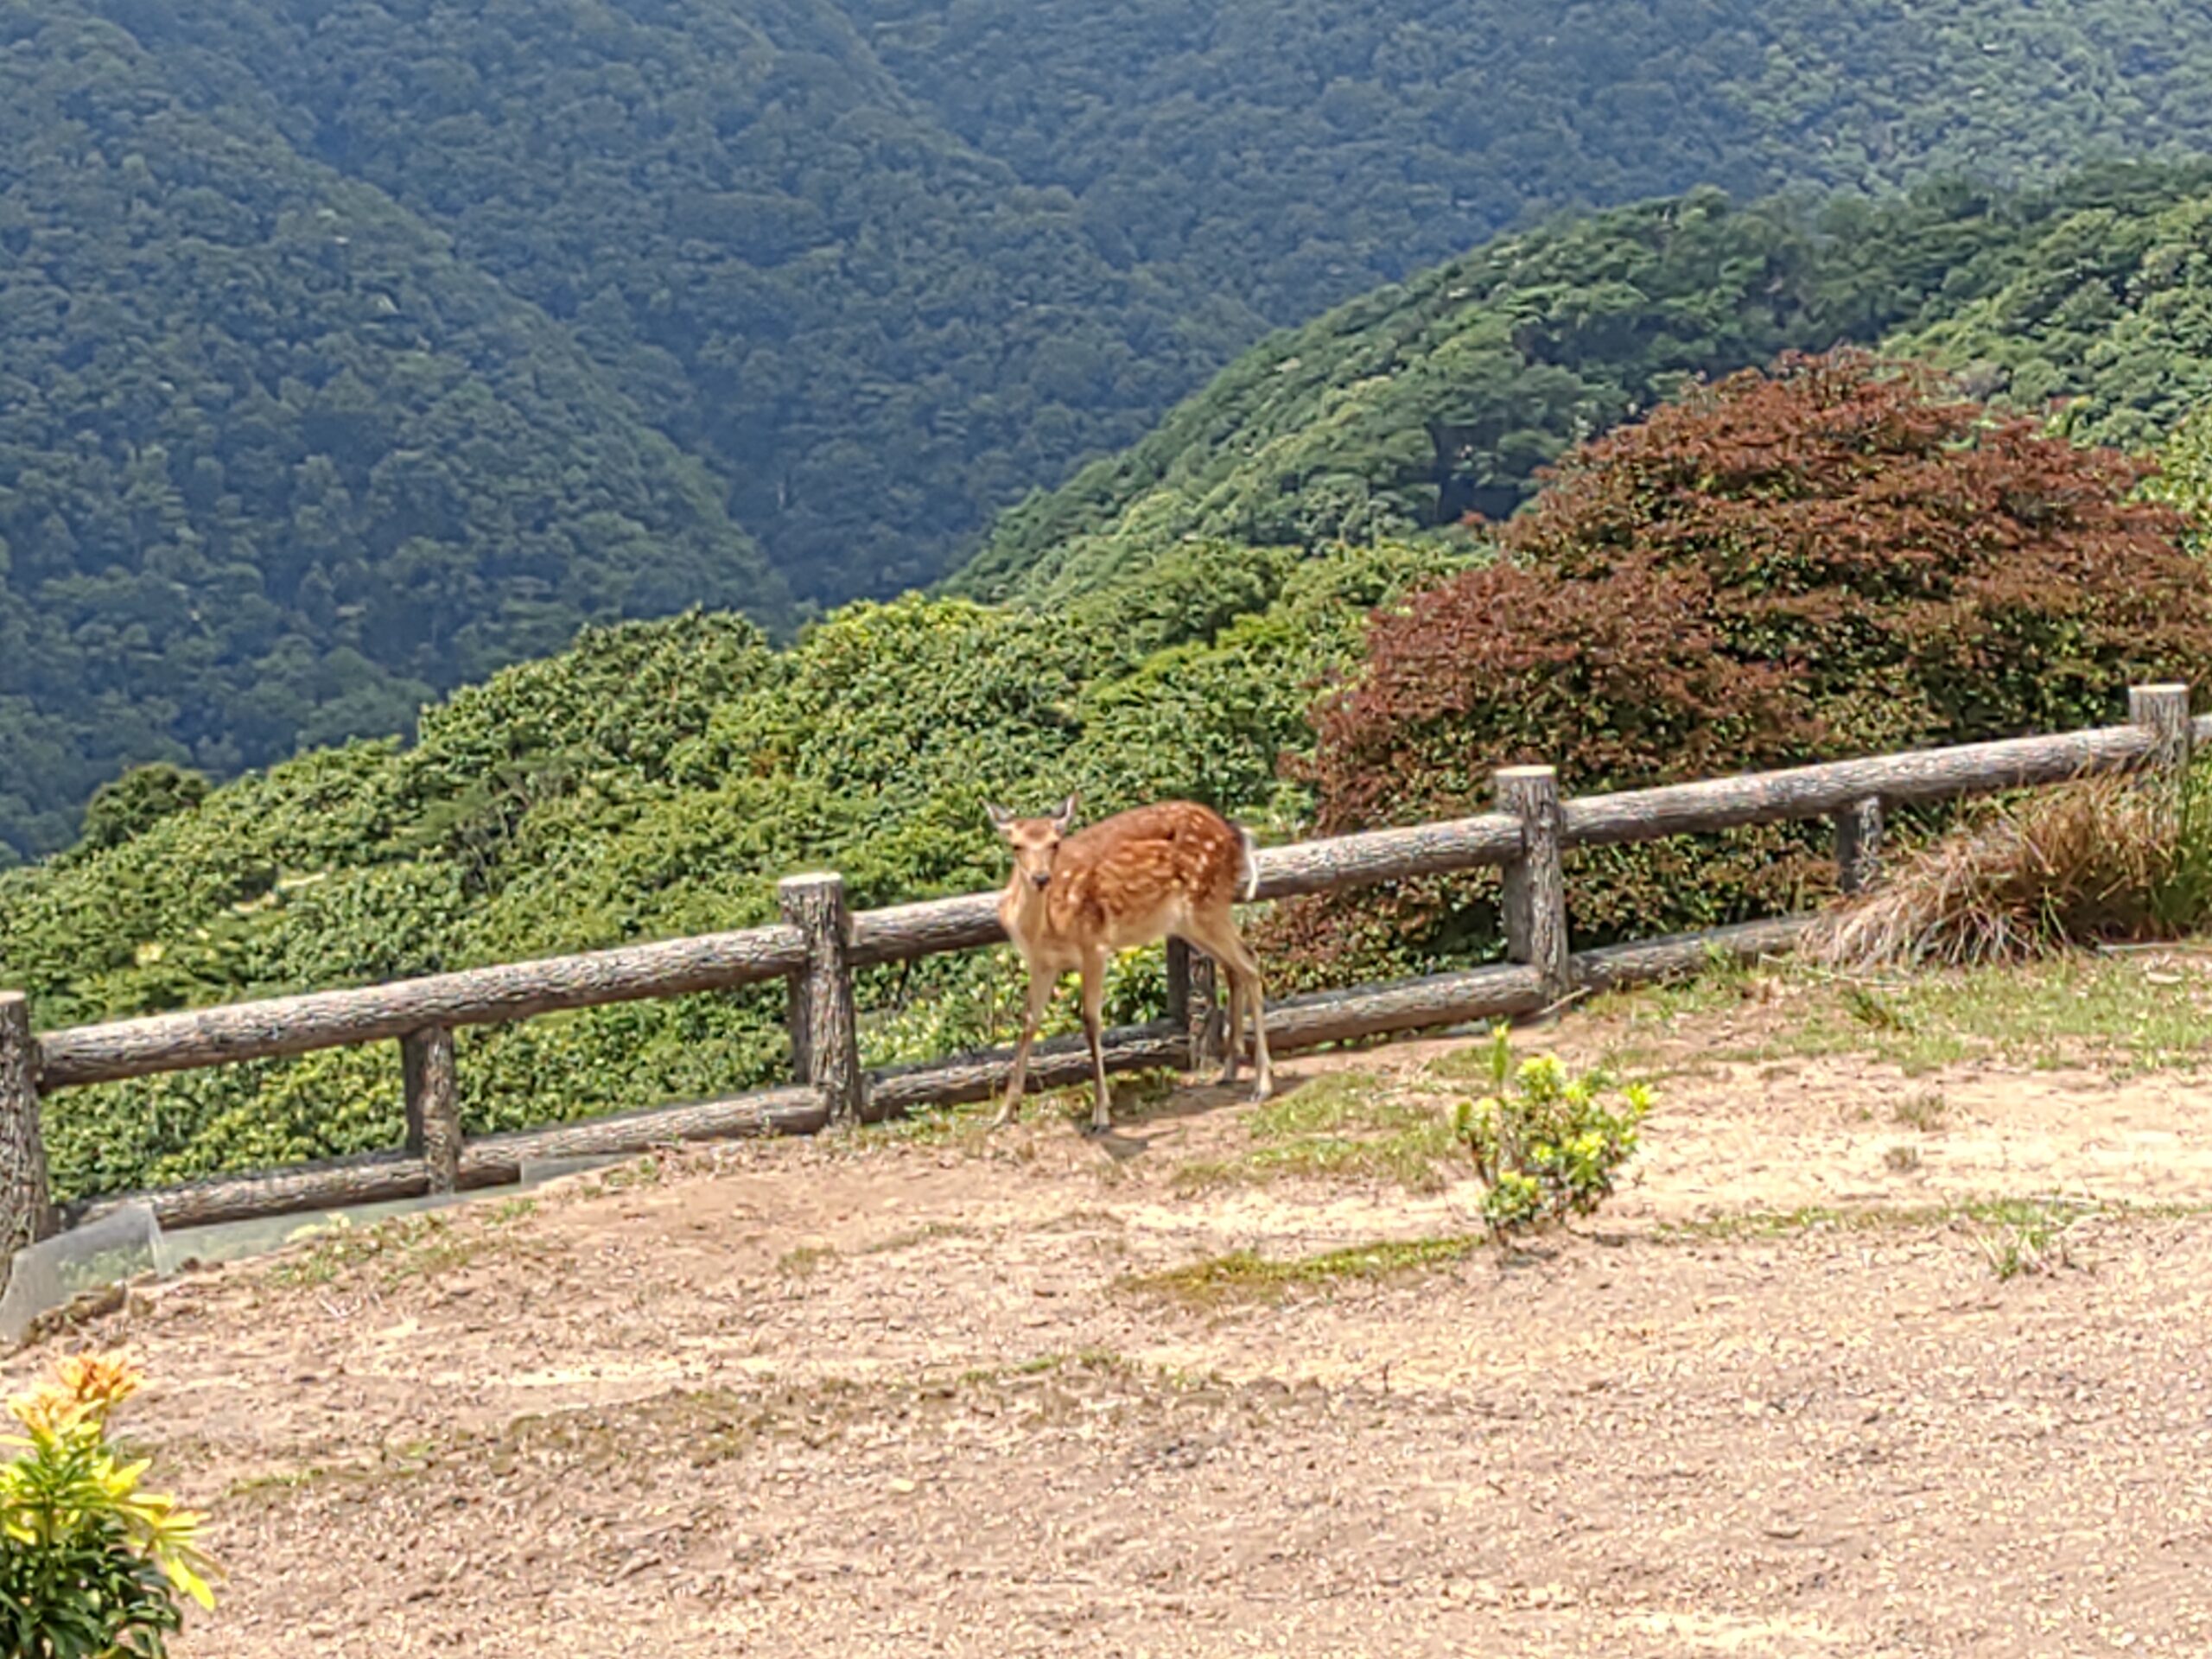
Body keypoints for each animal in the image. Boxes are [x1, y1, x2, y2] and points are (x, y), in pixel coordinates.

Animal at [990, 800, 1282, 1141]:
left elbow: (1091, 1022)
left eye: (1055, 842)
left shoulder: (1094, 946)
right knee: (1234, 967)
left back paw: (1263, 1085)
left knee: (1250, 961)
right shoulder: (1041, 962)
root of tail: (1235, 833)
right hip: (1190, 921)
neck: (1043, 929)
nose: (1040, 878)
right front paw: (1005, 1112)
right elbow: (1028, 1023)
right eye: (1016, 845)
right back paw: (1230, 1070)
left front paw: (1101, 1115)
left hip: (1206, 905)